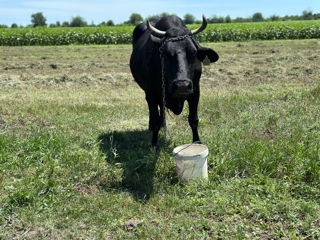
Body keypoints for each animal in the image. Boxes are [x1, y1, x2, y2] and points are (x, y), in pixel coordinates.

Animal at [129, 15, 218, 146]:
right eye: (165, 53)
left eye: (193, 52)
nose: (182, 85)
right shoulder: (151, 94)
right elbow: (155, 121)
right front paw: (154, 145)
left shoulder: (195, 92)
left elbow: (193, 119)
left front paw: (197, 142)